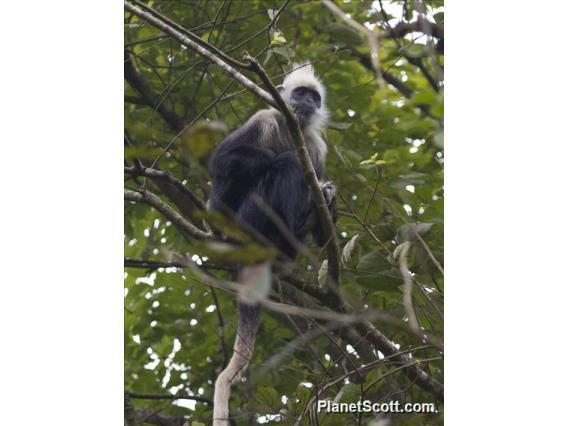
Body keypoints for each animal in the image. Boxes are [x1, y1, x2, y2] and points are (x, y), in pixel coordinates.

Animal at [207, 61, 336, 424]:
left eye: (314, 97)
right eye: (300, 93)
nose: (306, 103)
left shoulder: (316, 146)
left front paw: (328, 200)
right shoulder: (264, 116)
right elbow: (221, 161)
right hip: (244, 218)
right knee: (280, 165)